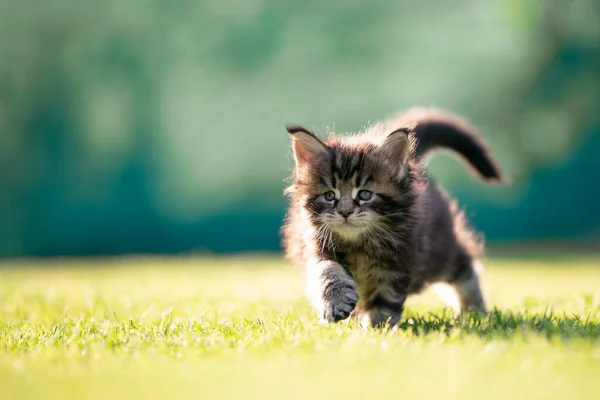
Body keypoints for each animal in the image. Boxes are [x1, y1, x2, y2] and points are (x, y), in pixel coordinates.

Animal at [284, 107, 504, 328]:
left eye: (365, 194)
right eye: (330, 196)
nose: (345, 212)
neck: (359, 244)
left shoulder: (396, 265)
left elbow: (385, 301)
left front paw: (378, 328)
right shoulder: (316, 248)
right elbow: (327, 272)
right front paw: (336, 304)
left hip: (439, 252)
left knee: (465, 269)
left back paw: (475, 311)